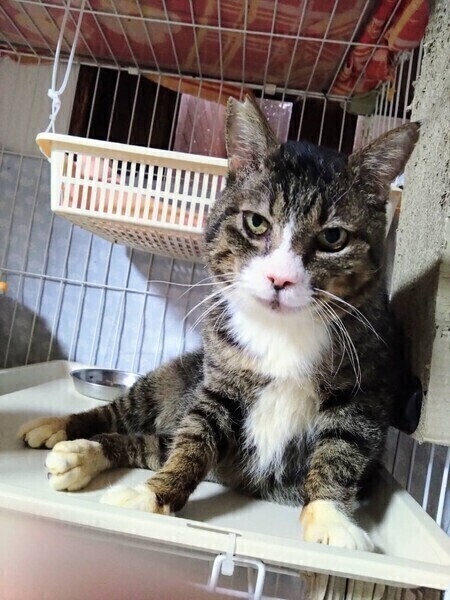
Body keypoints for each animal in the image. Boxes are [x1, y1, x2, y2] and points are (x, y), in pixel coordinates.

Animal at [18, 96, 419, 551]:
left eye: (333, 238)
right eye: (256, 222)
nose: (280, 279)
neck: (282, 331)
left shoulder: (363, 392)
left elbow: (341, 449)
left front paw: (330, 518)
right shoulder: (220, 380)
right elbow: (195, 438)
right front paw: (155, 493)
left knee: (150, 442)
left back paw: (81, 453)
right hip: (175, 375)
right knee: (131, 413)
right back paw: (60, 428)